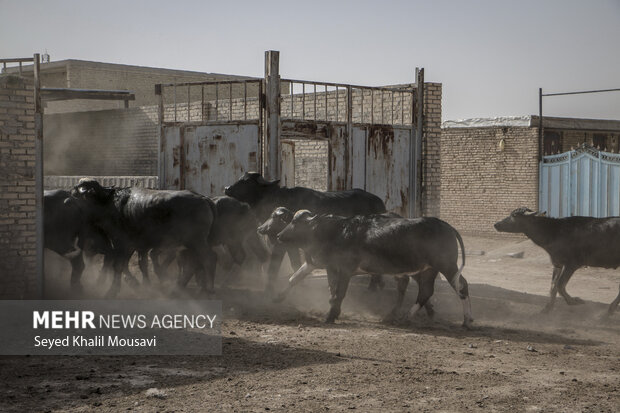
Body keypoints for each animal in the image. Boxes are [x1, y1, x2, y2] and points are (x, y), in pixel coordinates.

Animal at [71, 178, 217, 296]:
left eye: (75, 194)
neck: (108, 203)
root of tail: (202, 198)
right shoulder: (133, 246)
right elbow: (135, 264)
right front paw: (141, 285)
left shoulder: (121, 244)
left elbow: (118, 265)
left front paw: (112, 291)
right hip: (188, 244)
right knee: (192, 264)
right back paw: (177, 289)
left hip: (196, 241)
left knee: (208, 259)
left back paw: (207, 289)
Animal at [223, 172, 388, 292]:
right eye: (240, 178)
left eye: (246, 181)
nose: (227, 188)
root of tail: (379, 202)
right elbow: (294, 262)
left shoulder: (284, 244)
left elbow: (286, 263)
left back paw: (373, 287)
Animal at [274, 211, 472, 326]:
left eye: (295, 223)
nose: (279, 235)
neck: (338, 231)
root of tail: (446, 226)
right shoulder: (330, 267)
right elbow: (321, 286)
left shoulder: (345, 269)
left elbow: (339, 293)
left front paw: (331, 315)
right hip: (428, 270)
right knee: (425, 291)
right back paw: (405, 316)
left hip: (446, 265)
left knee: (461, 285)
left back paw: (466, 319)